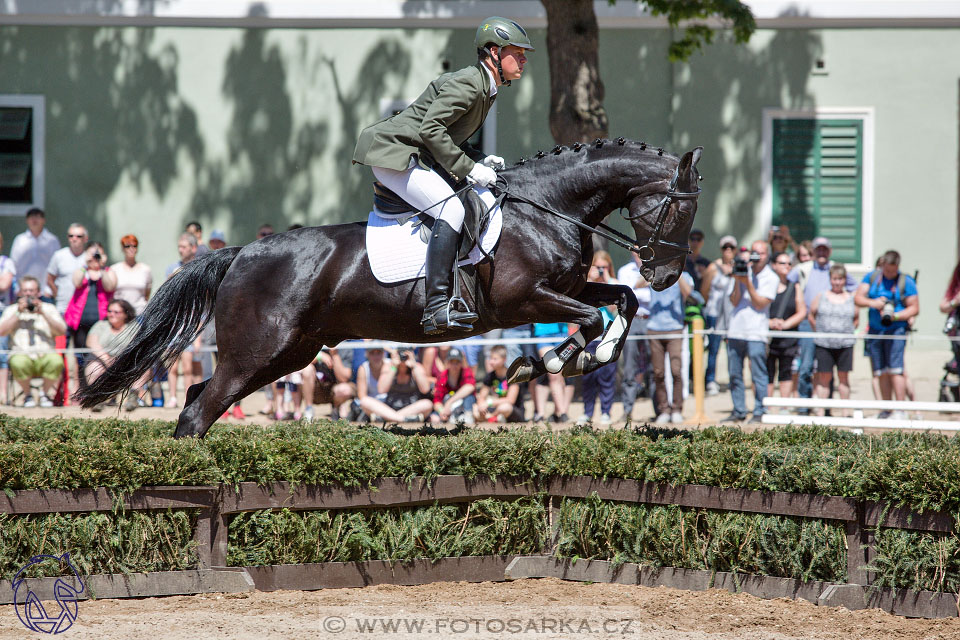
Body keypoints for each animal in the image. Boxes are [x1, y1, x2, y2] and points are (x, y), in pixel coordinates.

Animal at [79, 140, 700, 438]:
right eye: (677, 210)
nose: (668, 276)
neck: (549, 208)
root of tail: (241, 253)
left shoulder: (568, 288)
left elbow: (621, 302)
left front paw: (567, 357)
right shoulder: (522, 300)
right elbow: (592, 319)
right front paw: (555, 360)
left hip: (288, 353)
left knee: (196, 398)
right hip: (258, 350)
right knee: (199, 409)